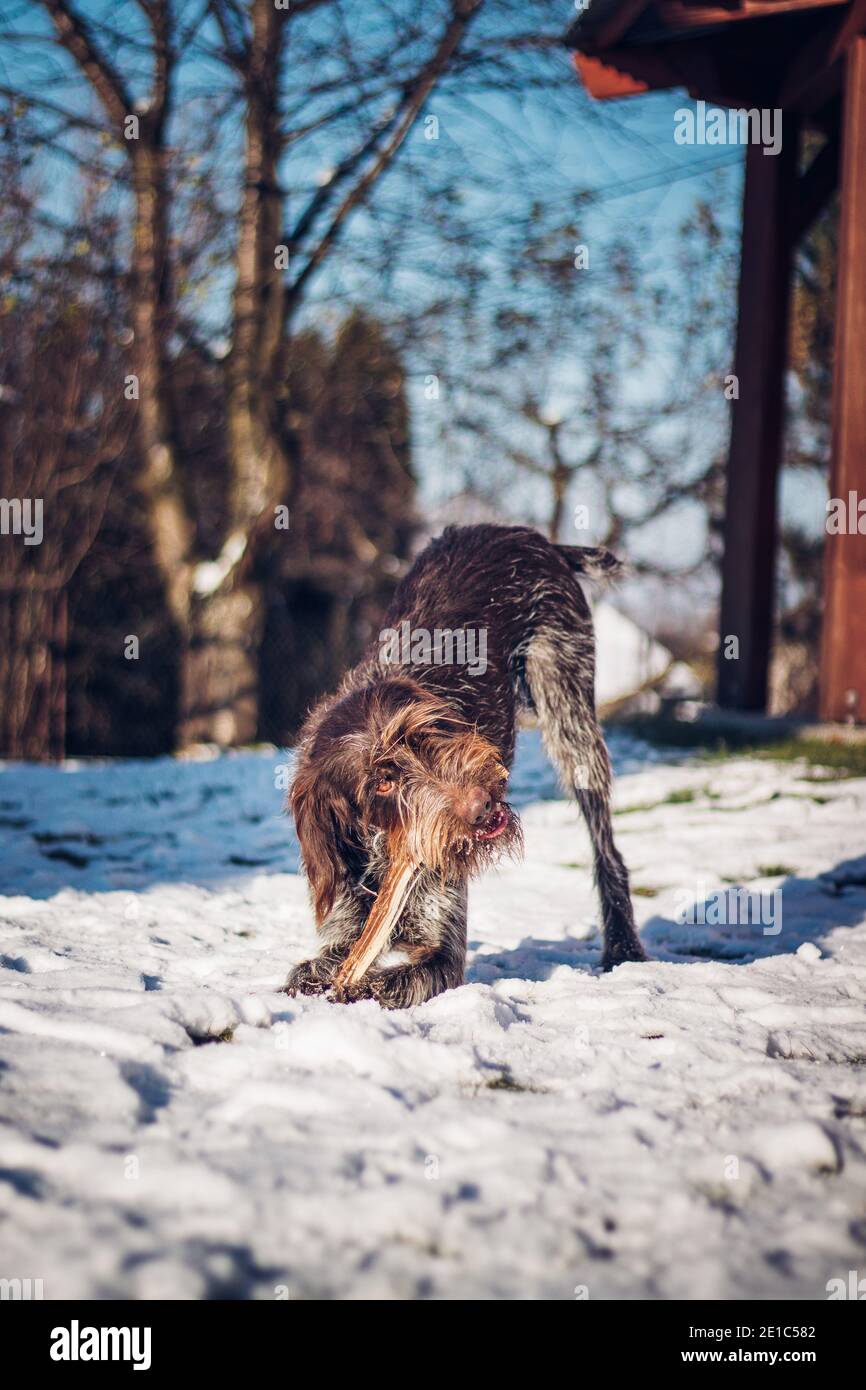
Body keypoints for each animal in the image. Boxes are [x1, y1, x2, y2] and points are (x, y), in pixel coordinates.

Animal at [287, 522, 647, 1011]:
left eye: (427, 737)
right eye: (382, 784)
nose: (481, 805)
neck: (384, 852)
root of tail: (525, 534)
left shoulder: (443, 952)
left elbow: (382, 984)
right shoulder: (344, 929)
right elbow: (306, 972)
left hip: (570, 718)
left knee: (607, 849)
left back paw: (623, 946)